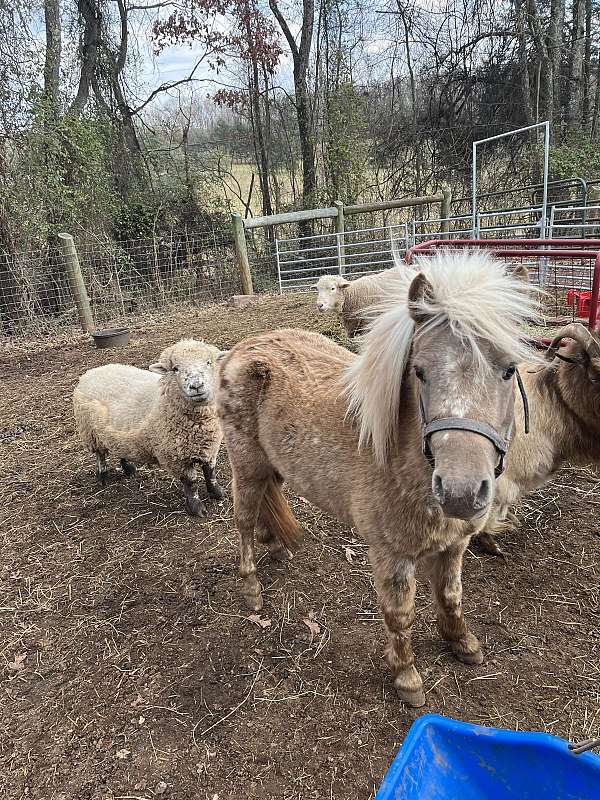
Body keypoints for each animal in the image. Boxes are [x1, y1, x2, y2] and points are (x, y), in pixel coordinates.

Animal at [72, 340, 226, 520]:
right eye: (175, 369)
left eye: (209, 362)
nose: (196, 386)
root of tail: (92, 371)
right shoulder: (175, 457)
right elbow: (191, 483)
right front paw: (197, 508)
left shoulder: (210, 447)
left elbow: (210, 472)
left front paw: (217, 493)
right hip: (90, 432)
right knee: (100, 455)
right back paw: (103, 476)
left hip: (117, 431)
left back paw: (128, 469)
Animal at [216, 250, 540, 708]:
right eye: (419, 372)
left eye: (510, 370)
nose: (460, 492)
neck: (404, 462)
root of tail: (239, 349)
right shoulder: (391, 556)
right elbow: (399, 614)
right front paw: (406, 676)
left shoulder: (455, 544)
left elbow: (451, 595)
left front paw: (462, 643)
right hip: (244, 464)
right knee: (243, 518)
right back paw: (251, 588)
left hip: (271, 463)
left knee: (268, 498)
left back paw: (275, 545)